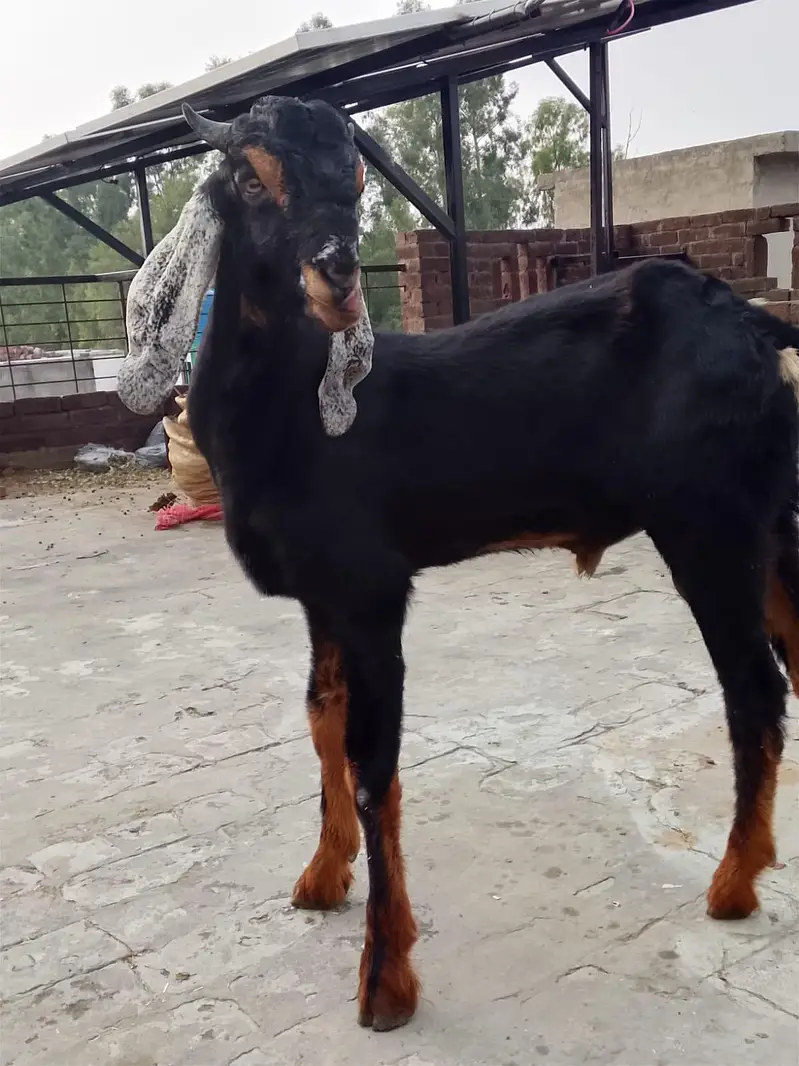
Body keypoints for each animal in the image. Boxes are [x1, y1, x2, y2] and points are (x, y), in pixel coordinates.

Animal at [117, 95, 799, 1032]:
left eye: (357, 180)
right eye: (248, 181)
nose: (337, 277)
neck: (294, 414)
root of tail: (750, 322)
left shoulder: (371, 589)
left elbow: (374, 767)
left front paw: (384, 981)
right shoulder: (323, 598)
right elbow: (321, 721)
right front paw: (319, 877)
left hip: (709, 526)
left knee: (754, 691)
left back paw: (732, 885)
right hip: (773, 518)